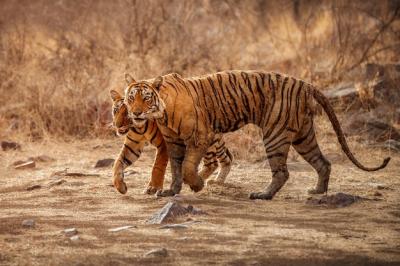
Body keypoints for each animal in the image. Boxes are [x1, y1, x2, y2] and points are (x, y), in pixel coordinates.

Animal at [123, 70, 390, 200]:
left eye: (145, 98)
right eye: (130, 97)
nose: (135, 112)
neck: (163, 113)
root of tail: (305, 84)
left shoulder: (202, 136)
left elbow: (188, 167)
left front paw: (197, 185)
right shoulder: (174, 142)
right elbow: (177, 168)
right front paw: (171, 191)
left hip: (274, 134)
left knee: (282, 172)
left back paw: (263, 195)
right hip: (303, 136)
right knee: (323, 163)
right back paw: (317, 192)